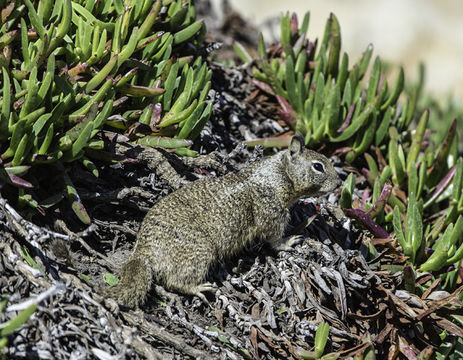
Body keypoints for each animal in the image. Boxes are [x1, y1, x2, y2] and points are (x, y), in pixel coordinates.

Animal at [108, 135, 340, 306]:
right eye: (318, 166)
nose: (339, 183)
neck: (278, 174)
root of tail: (143, 251)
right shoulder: (271, 211)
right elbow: (274, 238)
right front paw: (289, 241)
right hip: (199, 251)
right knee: (175, 281)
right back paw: (198, 288)